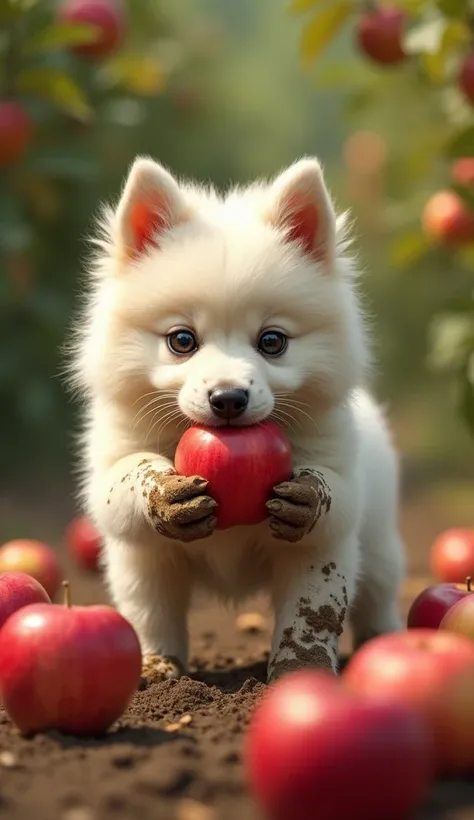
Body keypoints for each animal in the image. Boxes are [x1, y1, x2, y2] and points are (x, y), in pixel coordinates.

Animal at [69, 157, 404, 684]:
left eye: (272, 342)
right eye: (181, 340)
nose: (229, 398)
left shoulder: (325, 536)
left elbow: (310, 609)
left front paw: (300, 671)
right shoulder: (134, 524)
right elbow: (126, 488)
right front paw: (166, 494)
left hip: (381, 545)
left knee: (379, 596)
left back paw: (384, 642)